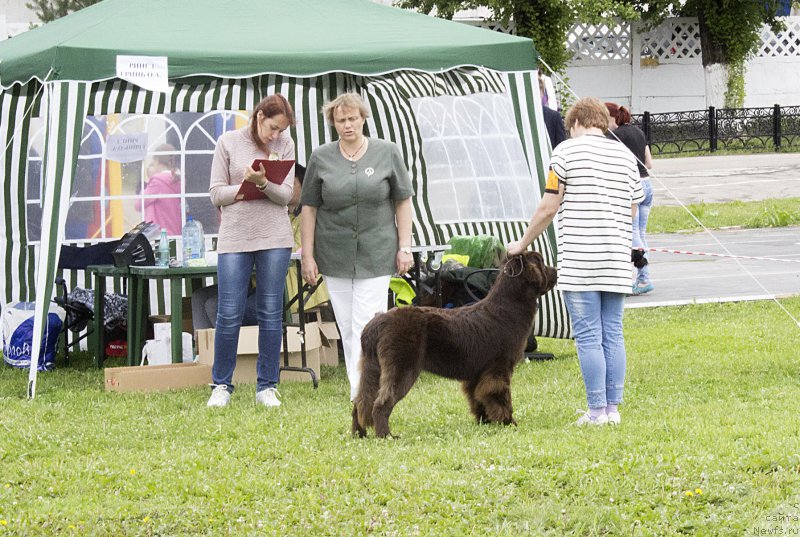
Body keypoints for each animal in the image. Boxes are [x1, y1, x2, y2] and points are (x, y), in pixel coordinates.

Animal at [350, 249, 556, 438]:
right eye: (541, 262)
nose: (555, 270)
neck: (509, 307)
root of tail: (377, 322)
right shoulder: (500, 367)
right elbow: (498, 394)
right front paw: (508, 422)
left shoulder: (477, 373)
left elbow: (477, 397)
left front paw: (485, 421)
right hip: (402, 366)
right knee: (381, 403)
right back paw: (386, 436)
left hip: (372, 367)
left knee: (360, 402)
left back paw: (358, 434)